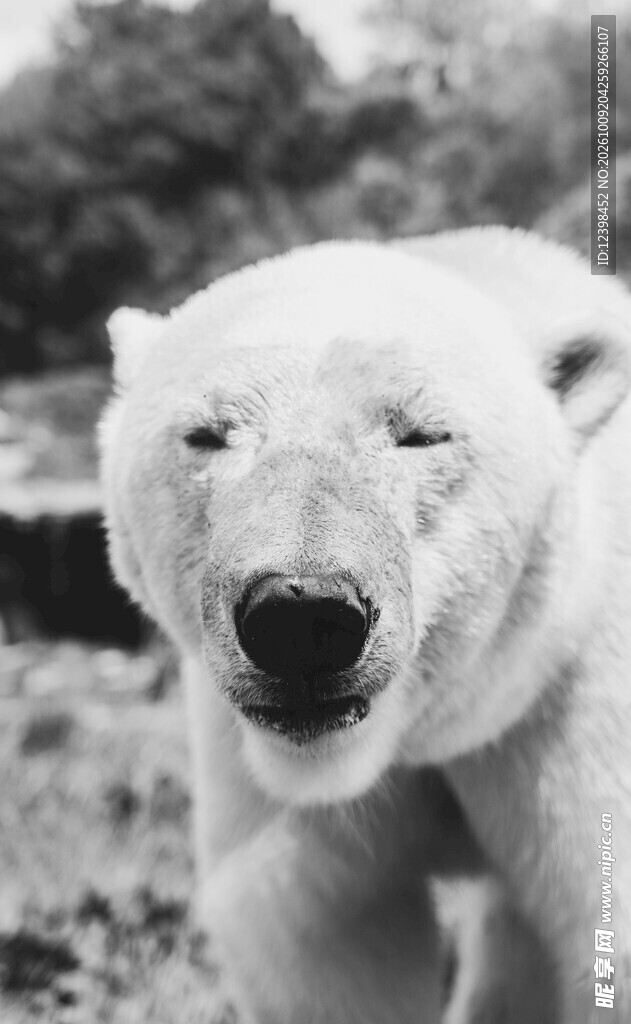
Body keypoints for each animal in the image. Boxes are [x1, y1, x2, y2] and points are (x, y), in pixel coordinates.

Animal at [99, 226, 631, 1024]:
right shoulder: (272, 771)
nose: (300, 615)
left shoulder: (568, 704)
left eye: (424, 433)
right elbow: (321, 931)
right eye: (204, 434)